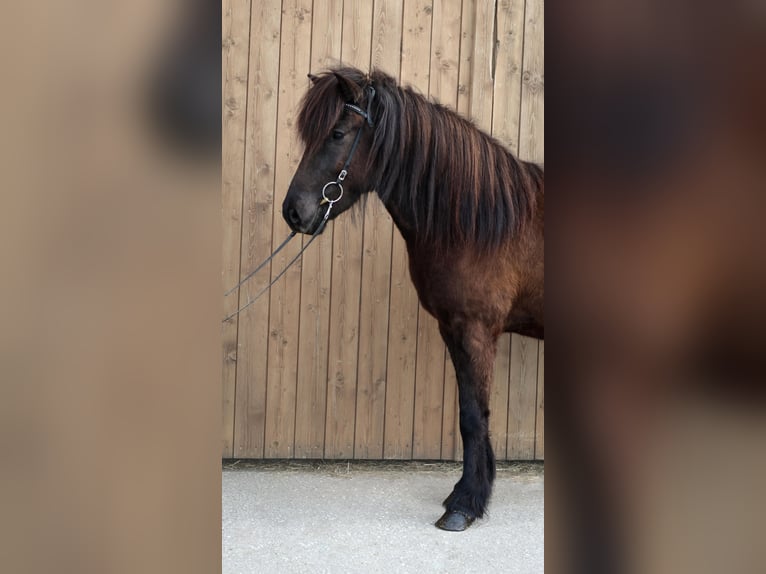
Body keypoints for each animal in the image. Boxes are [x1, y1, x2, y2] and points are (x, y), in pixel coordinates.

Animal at [282, 66, 544, 531]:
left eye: (337, 133)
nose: (294, 212)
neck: (477, 218)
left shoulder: (476, 331)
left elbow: (474, 416)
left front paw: (464, 505)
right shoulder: (453, 330)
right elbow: (468, 414)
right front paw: (466, 492)